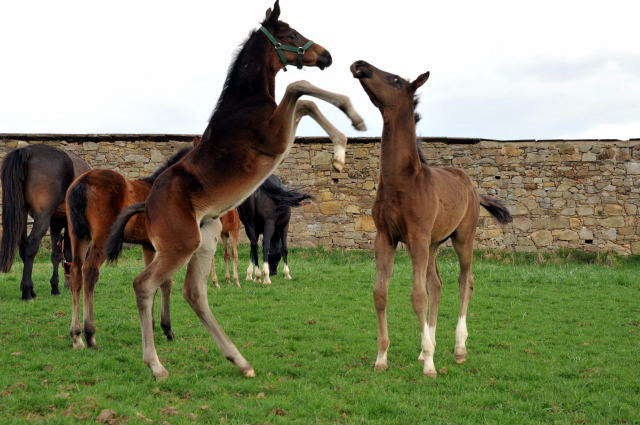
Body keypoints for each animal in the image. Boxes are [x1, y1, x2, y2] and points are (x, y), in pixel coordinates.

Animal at [0, 144, 90, 300]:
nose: (68, 284)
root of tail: (26, 151)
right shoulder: (64, 223)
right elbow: (64, 252)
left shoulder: (55, 223)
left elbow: (55, 255)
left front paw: (54, 287)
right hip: (42, 217)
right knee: (30, 246)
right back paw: (27, 291)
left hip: (23, 214)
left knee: (23, 247)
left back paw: (31, 290)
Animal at [66, 147, 194, 350]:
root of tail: (83, 182)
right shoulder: (164, 245)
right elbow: (165, 281)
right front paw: (167, 329)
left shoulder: (148, 246)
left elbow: (152, 282)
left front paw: (151, 326)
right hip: (101, 238)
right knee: (90, 271)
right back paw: (90, 335)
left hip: (78, 236)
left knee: (76, 273)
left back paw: (76, 337)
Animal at [105, 0, 364, 378]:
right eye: (291, 34)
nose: (326, 56)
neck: (245, 103)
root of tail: (148, 204)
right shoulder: (274, 138)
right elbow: (299, 87)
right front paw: (348, 132)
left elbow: (304, 100)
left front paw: (343, 145)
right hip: (181, 244)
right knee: (145, 285)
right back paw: (156, 365)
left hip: (207, 237)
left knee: (194, 293)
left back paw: (240, 361)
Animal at [352, 58, 512, 374]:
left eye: (395, 79)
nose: (360, 64)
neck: (402, 181)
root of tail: (473, 188)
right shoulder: (386, 237)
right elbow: (381, 293)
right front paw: (382, 358)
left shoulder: (417, 236)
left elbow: (417, 296)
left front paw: (430, 365)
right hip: (434, 243)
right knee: (436, 284)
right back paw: (428, 348)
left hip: (462, 237)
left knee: (465, 281)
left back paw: (458, 349)